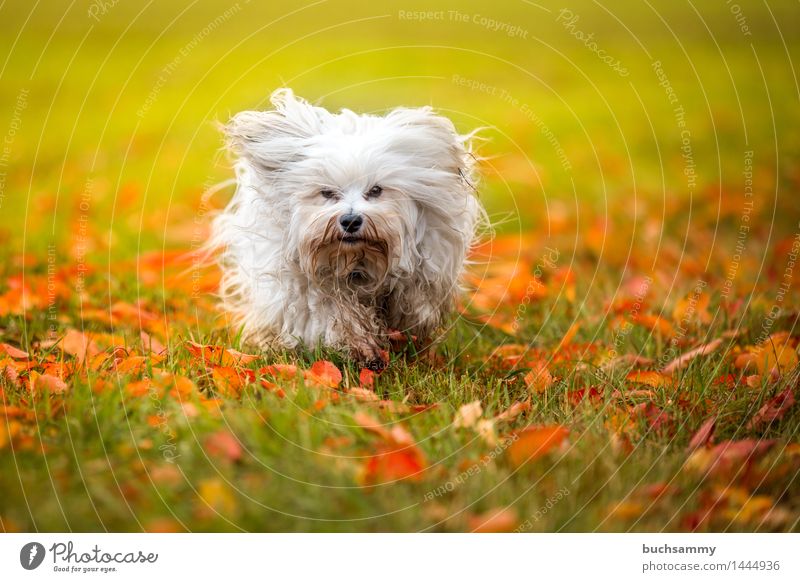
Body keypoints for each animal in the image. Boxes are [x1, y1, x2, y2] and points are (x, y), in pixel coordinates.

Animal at [211, 89, 482, 372]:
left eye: (376, 190)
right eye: (327, 193)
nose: (350, 220)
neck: (357, 260)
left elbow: (412, 304)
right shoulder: (308, 285)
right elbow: (334, 314)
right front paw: (362, 350)